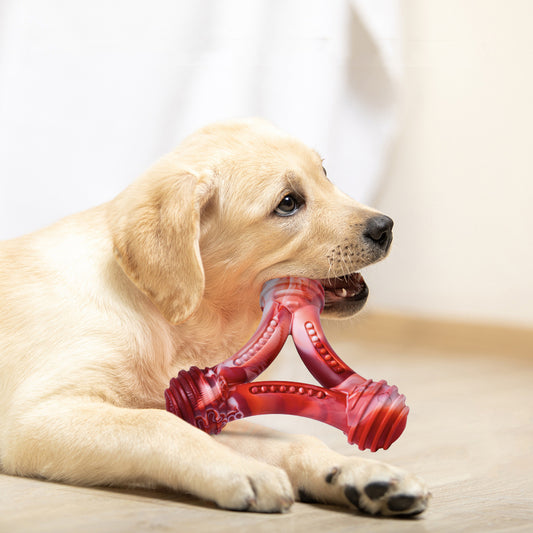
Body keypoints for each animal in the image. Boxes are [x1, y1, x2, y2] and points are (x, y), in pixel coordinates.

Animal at [0, 118, 428, 512]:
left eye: (324, 173)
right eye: (288, 203)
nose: (385, 227)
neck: (165, 322)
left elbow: (289, 439)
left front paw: (357, 472)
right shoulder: (35, 417)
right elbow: (159, 425)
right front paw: (243, 471)